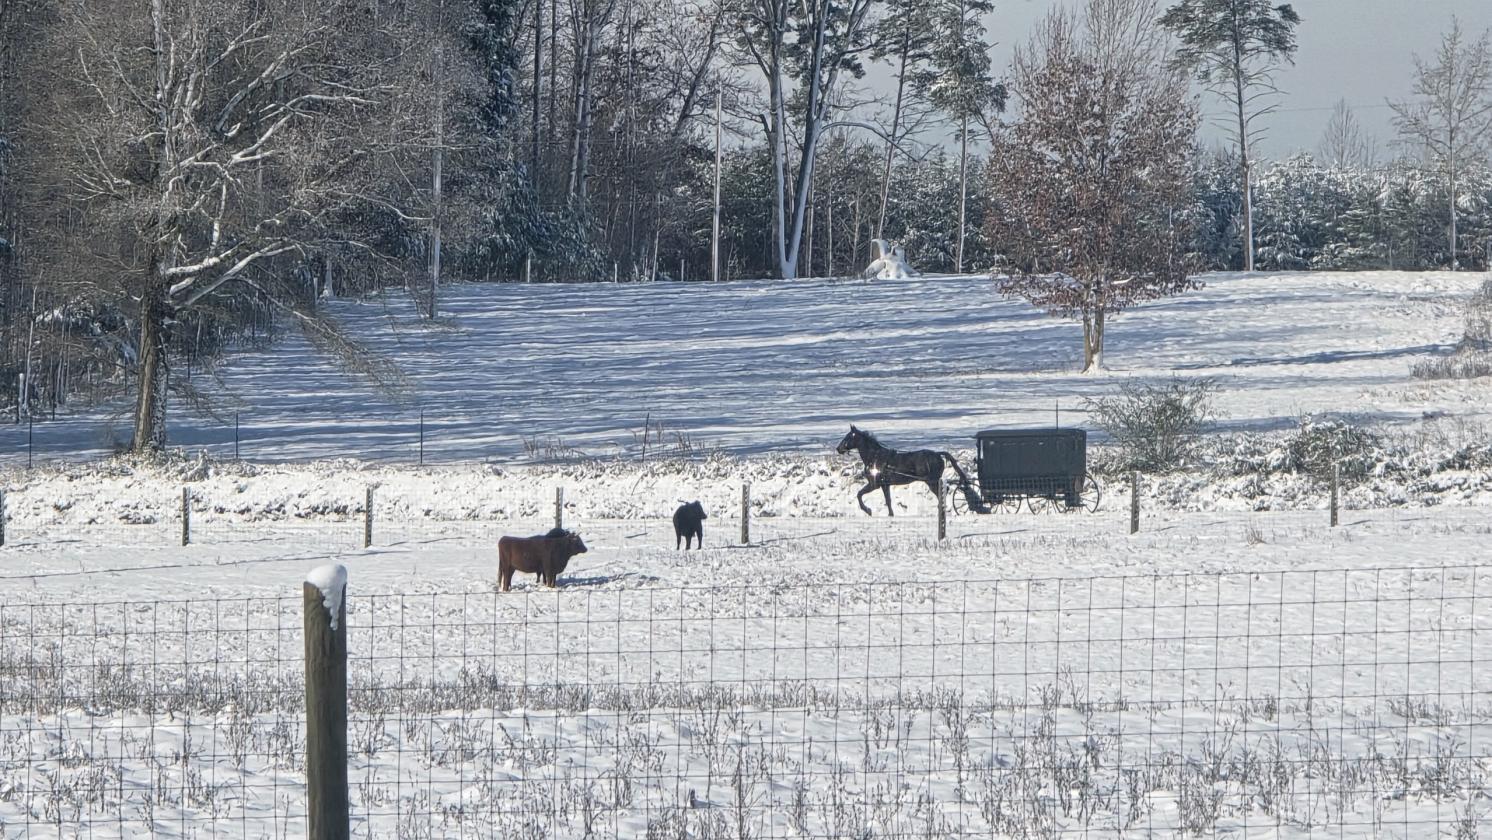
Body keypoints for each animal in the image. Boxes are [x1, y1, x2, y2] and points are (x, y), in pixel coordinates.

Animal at [835, 425, 975, 516]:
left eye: (848, 437)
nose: (838, 448)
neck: (875, 457)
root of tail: (937, 454)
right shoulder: (885, 485)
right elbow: (888, 500)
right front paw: (890, 514)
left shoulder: (874, 484)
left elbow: (859, 494)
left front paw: (868, 510)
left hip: (931, 481)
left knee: (943, 491)